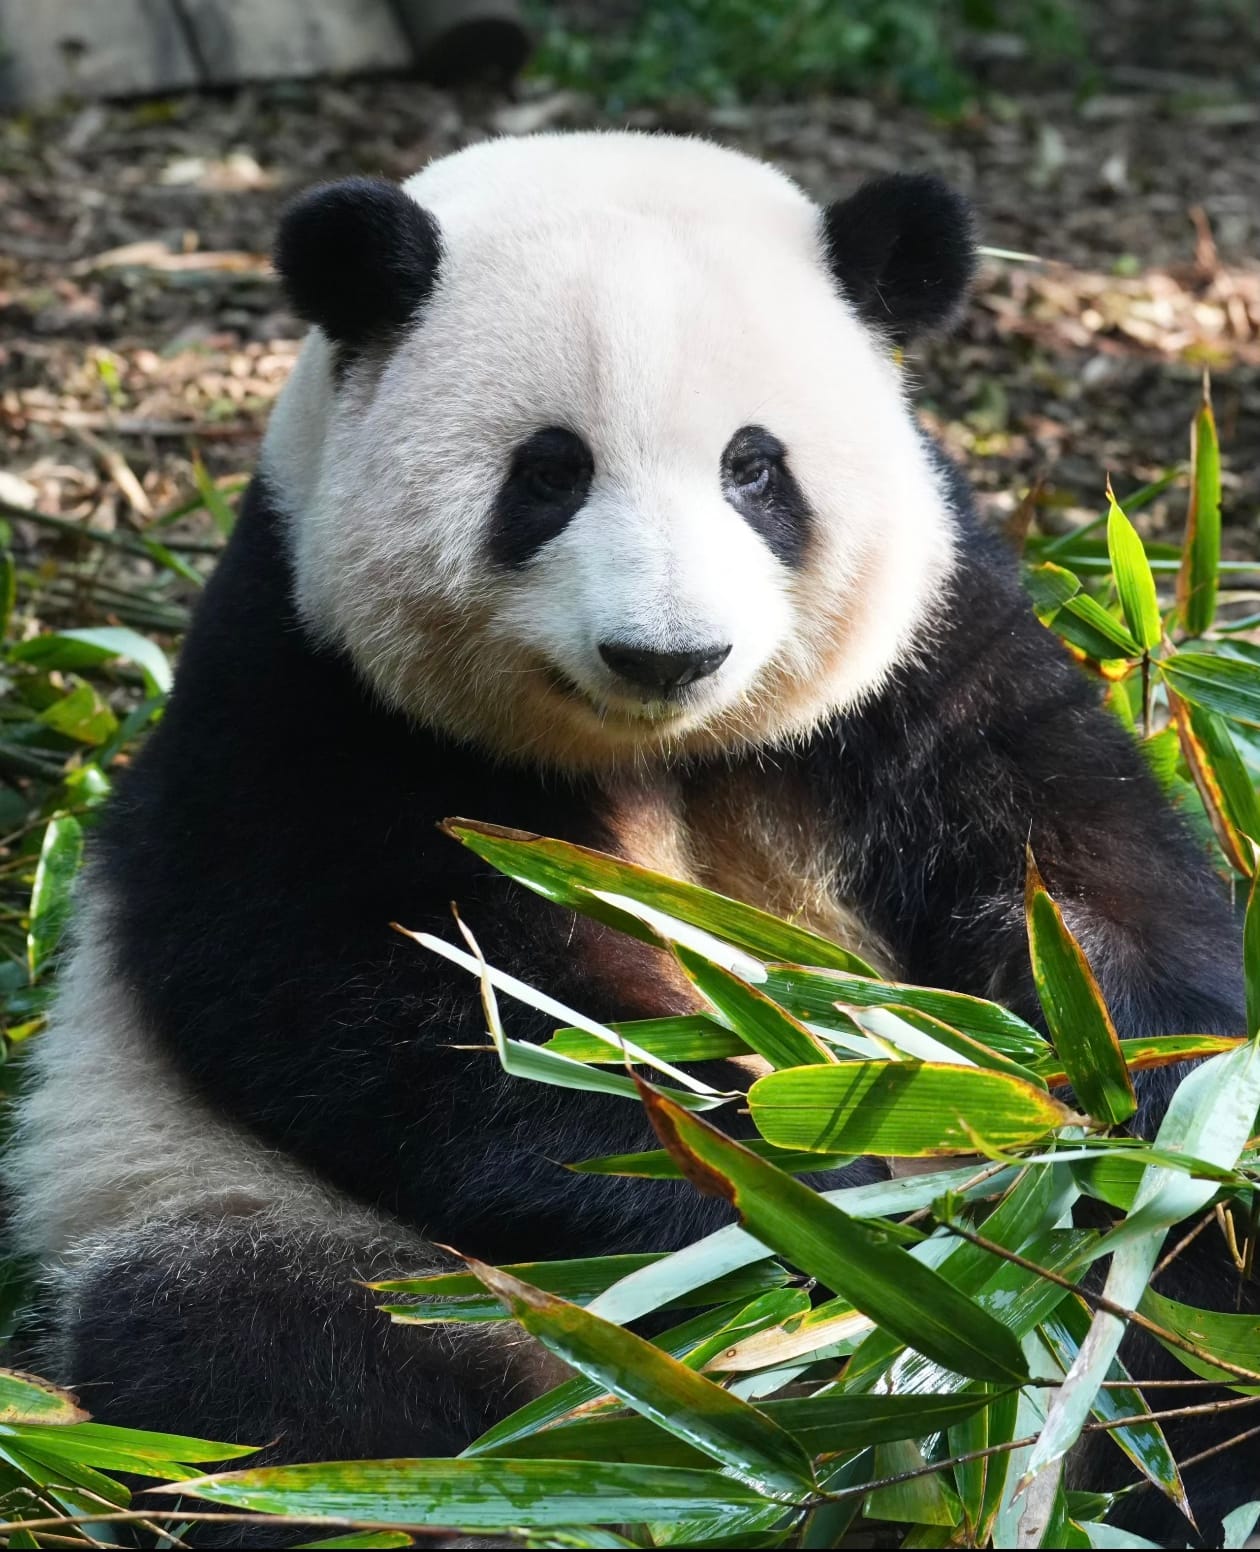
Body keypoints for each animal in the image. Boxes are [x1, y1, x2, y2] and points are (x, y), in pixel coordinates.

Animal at [5, 131, 1248, 1544]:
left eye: (754, 468)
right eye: (550, 472)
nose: (670, 652)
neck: (661, 748)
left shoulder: (933, 657)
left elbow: (1087, 894)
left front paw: (1112, 1122)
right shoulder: (309, 687)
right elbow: (418, 1016)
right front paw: (821, 1212)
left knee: (1182, 1330)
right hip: (240, 1217)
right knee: (264, 1364)